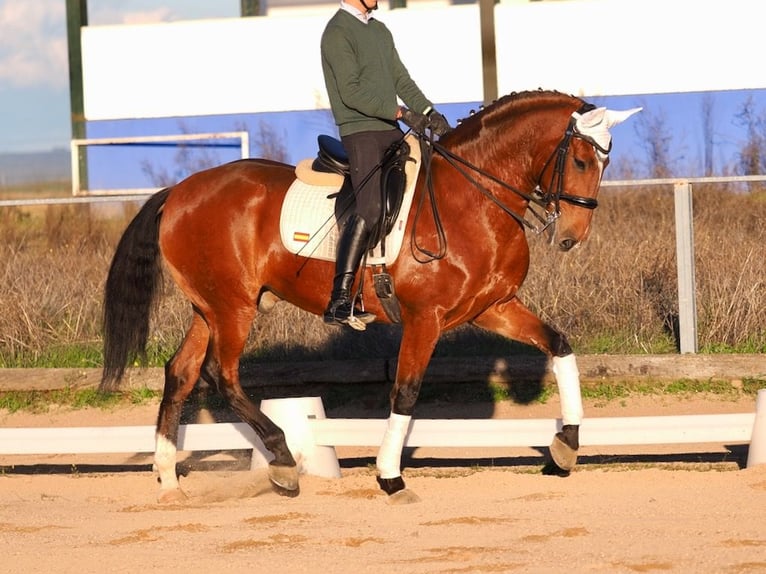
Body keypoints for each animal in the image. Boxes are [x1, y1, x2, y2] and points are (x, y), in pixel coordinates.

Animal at [102, 90, 640, 504]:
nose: (571, 237)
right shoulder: (426, 318)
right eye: (580, 160)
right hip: (233, 307)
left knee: (181, 372)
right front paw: (390, 477)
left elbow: (560, 346)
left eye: (606, 161)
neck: (473, 198)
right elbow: (405, 392)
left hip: (209, 307)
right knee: (222, 374)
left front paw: (567, 444)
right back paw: (282, 460)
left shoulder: (493, 308)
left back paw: (169, 479)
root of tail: (179, 191)